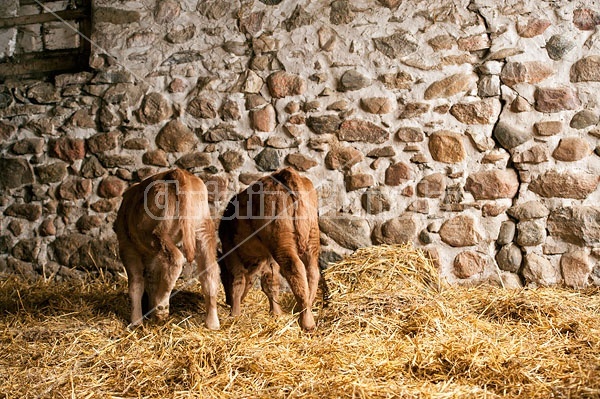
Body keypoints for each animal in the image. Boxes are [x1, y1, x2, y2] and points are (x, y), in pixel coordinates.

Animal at [113, 170, 220, 330]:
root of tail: (177, 172)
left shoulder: (127, 247)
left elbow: (135, 284)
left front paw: (136, 322)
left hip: (155, 232)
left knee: (175, 259)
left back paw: (161, 305)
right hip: (203, 230)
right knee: (210, 271)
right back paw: (212, 323)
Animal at [218, 168, 322, 332]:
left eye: (222, 276)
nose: (227, 301)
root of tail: (286, 173)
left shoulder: (230, 249)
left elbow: (238, 281)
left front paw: (234, 314)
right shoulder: (268, 257)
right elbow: (270, 283)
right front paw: (276, 313)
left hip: (282, 245)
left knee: (296, 269)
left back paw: (306, 321)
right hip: (311, 239)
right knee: (312, 271)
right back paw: (307, 307)